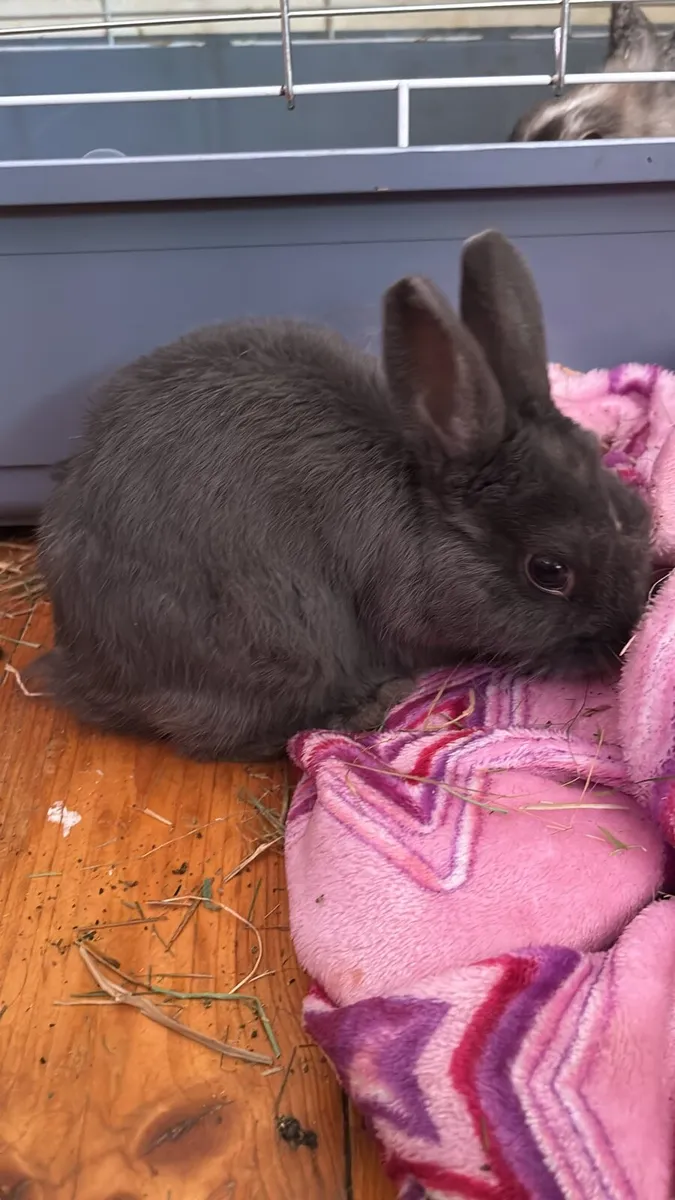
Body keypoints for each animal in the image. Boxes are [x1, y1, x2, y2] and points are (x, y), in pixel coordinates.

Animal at [28, 229, 651, 762]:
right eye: (548, 570)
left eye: (635, 509)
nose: (623, 632)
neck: (420, 511)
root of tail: (81, 663)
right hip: (285, 641)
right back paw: (374, 704)